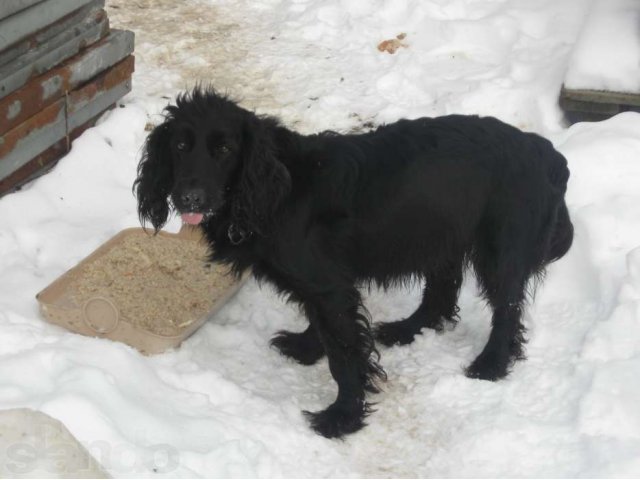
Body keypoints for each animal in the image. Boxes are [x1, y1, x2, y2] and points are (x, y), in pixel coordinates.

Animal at [135, 87, 576, 438]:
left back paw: (491, 364)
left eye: (224, 149)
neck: (276, 187)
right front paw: (305, 347)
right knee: (442, 290)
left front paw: (342, 417)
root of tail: (547, 152)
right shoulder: (323, 285)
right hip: (439, 232)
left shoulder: (329, 286)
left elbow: (345, 356)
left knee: (507, 309)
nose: (189, 197)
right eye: (179, 147)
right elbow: (322, 327)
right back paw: (407, 329)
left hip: (500, 248)